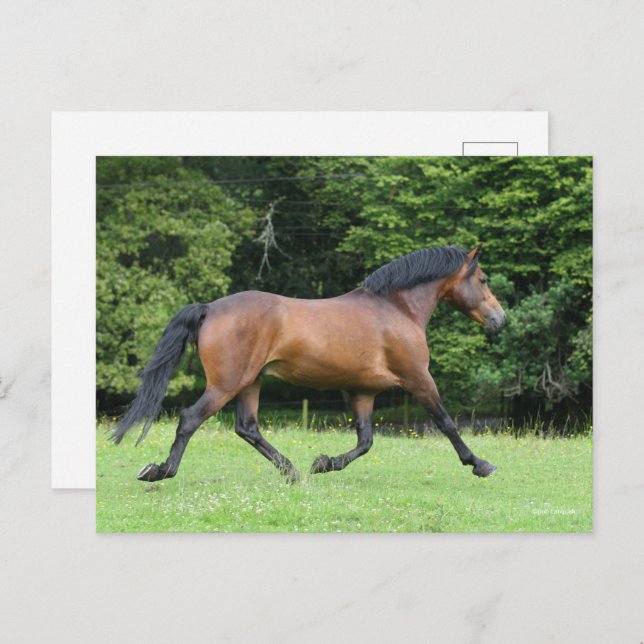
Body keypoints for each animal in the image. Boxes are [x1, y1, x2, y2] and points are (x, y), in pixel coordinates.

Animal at [112, 244, 506, 483]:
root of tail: (210, 307)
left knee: (247, 428)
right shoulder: (418, 379)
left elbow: (365, 441)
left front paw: (323, 463)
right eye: (483, 279)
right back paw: (159, 471)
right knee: (191, 419)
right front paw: (480, 464)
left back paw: (293, 472)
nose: (499, 319)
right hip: (225, 384)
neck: (396, 308)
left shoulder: (363, 391)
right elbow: (447, 423)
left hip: (249, 383)